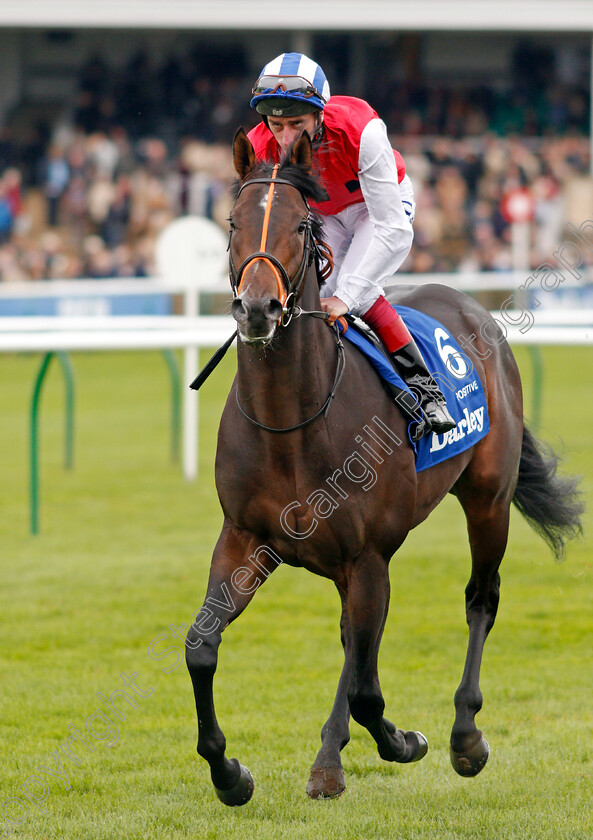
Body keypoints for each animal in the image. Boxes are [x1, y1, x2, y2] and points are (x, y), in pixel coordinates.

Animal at [185, 130, 584, 808]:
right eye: (233, 222)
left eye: (301, 225)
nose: (257, 308)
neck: (293, 423)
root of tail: (470, 307)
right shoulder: (244, 540)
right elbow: (202, 647)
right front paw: (228, 772)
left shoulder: (368, 557)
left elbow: (365, 686)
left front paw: (374, 750)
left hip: (488, 499)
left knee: (480, 599)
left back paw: (463, 736)